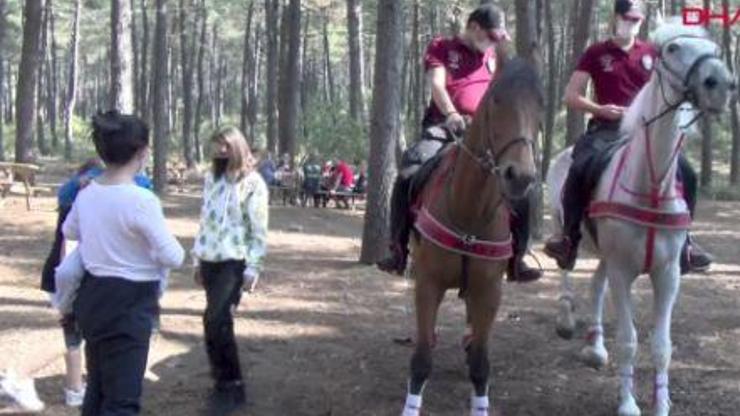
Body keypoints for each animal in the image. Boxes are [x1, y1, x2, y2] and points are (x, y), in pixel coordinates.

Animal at [398, 59, 544, 416]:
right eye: (496, 99)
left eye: (540, 105)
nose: (520, 176)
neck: (469, 212)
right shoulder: (428, 284)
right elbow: (421, 361)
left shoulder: (489, 290)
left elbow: (480, 364)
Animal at [548, 17, 732, 414]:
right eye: (672, 49)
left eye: (711, 47)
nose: (721, 84)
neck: (650, 184)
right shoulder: (623, 271)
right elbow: (629, 341)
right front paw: (628, 404)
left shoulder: (668, 273)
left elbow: (662, 346)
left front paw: (661, 403)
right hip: (563, 228)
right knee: (567, 269)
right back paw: (567, 320)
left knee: (595, 285)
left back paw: (595, 346)